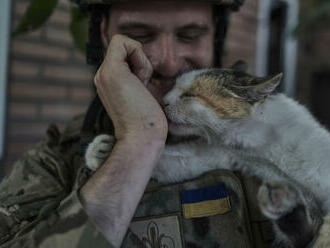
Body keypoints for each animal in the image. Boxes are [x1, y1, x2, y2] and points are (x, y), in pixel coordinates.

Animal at [83, 66, 330, 248]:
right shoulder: (211, 156)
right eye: (172, 87)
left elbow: (324, 230)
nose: (162, 100)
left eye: (190, 95)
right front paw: (103, 150)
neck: (259, 148)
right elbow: (167, 160)